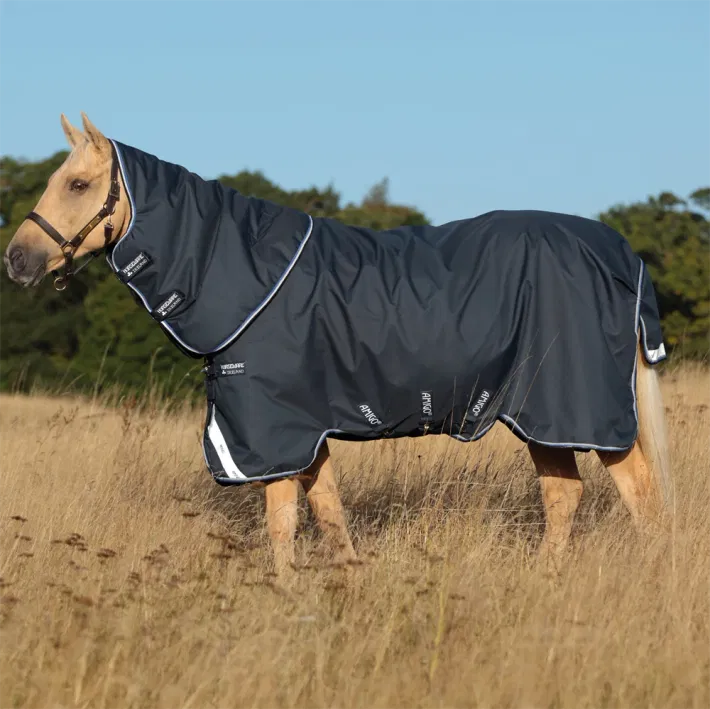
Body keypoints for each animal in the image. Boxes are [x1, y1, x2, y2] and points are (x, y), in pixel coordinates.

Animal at [4, 113, 673, 574]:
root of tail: (620, 254)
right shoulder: (307, 429)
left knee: (640, 497)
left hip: (576, 409)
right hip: (540, 415)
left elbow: (281, 523)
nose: (16, 260)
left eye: (78, 184)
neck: (243, 272)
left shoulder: (271, 431)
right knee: (566, 495)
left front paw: (281, 597)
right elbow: (328, 513)